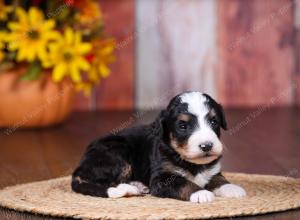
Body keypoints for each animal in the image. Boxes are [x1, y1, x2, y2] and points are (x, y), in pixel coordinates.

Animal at [71, 91, 245, 203]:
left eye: (214, 121)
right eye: (182, 126)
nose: (207, 146)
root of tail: (81, 165)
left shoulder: (212, 170)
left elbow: (218, 178)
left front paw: (232, 188)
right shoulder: (161, 179)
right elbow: (183, 182)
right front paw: (201, 192)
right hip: (117, 152)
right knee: (101, 182)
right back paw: (129, 188)